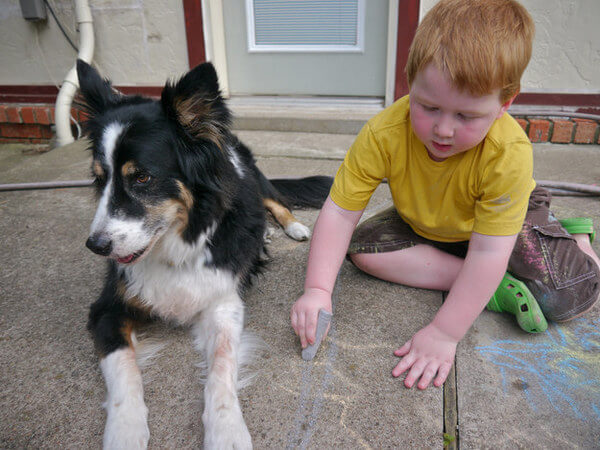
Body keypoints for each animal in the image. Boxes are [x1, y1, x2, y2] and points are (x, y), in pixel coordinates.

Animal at [76, 60, 332, 450]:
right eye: (99, 178)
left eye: (142, 178)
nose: (96, 245)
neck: (177, 244)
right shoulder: (107, 307)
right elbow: (123, 368)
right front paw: (125, 430)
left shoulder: (223, 301)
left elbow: (223, 364)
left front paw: (227, 430)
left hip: (254, 177)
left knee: (276, 200)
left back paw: (291, 227)